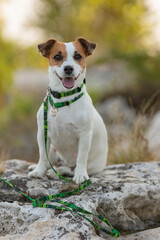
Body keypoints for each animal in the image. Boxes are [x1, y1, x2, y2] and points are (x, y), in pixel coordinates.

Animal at [28, 37, 109, 184]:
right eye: (57, 56)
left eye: (78, 56)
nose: (68, 68)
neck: (64, 99)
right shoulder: (42, 132)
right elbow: (42, 155)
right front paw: (38, 171)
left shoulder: (84, 135)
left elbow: (81, 158)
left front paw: (80, 175)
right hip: (53, 150)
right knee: (51, 161)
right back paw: (39, 167)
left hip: (93, 165)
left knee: (69, 168)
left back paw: (58, 173)